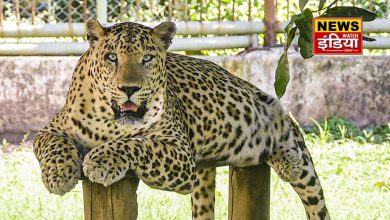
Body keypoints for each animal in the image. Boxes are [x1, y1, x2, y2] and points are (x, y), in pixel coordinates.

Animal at [33, 19, 330, 220]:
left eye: (147, 58)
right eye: (112, 57)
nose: (129, 88)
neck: (111, 121)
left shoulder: (179, 152)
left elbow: (138, 144)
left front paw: (101, 161)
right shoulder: (50, 129)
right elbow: (53, 143)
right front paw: (58, 174)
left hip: (277, 116)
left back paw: (289, 160)